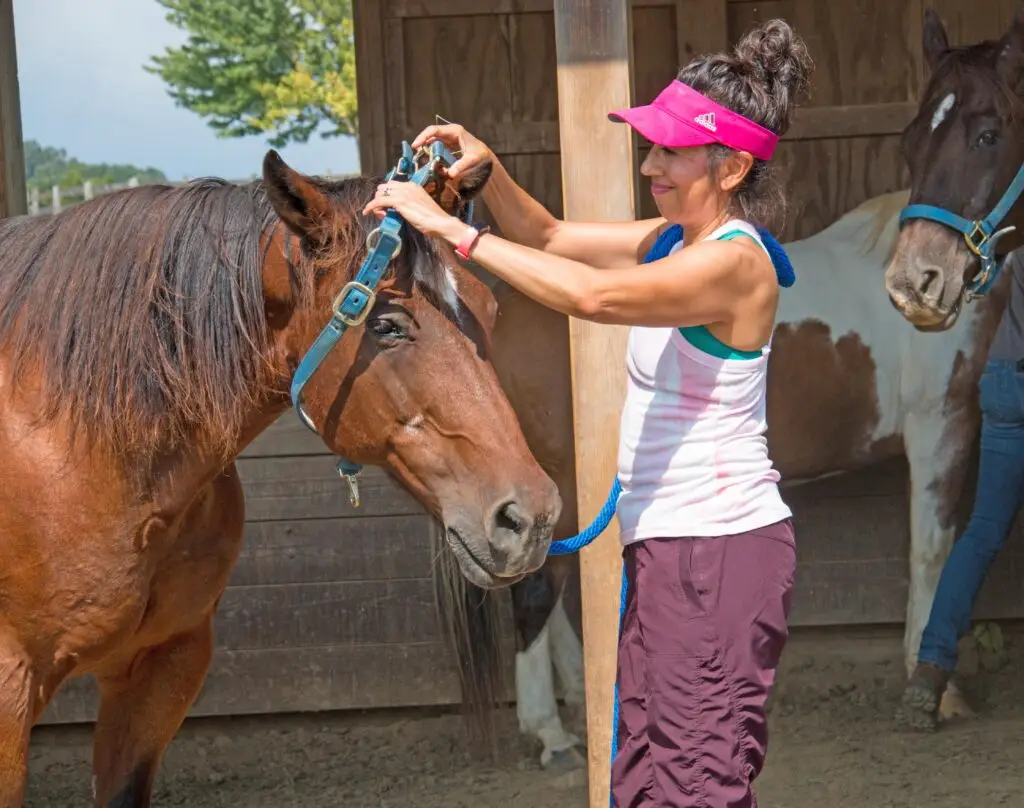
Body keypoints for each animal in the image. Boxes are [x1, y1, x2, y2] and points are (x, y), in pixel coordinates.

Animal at [481, 178, 1014, 767]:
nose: (926, 289)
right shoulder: (940, 427)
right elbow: (931, 552)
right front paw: (935, 688)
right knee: (535, 592)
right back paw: (551, 733)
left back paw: (575, 695)